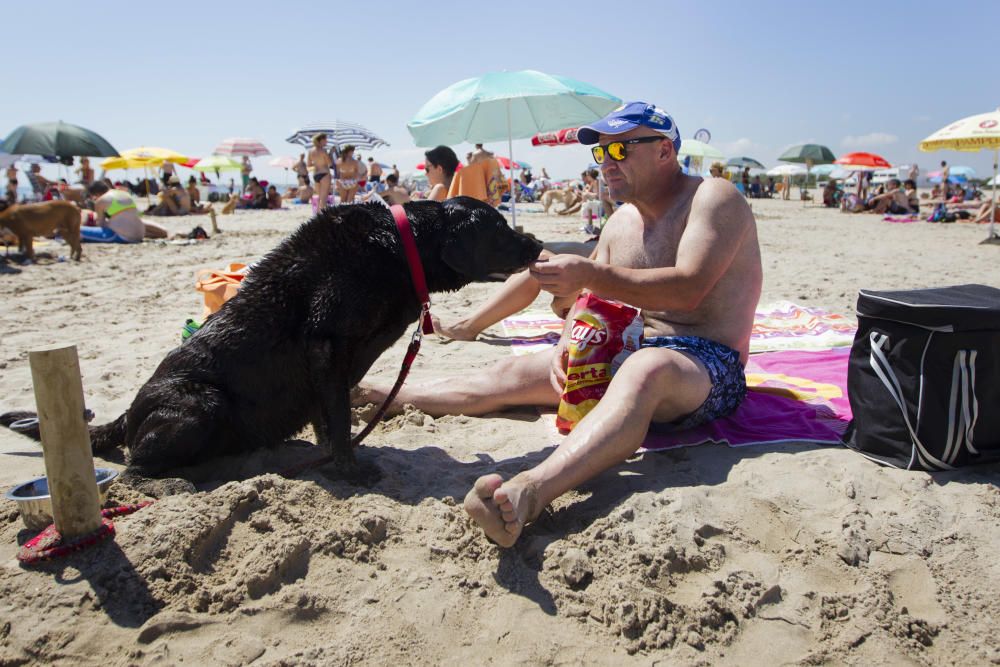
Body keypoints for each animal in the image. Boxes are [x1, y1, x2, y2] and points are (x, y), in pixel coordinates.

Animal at [0, 198, 544, 496]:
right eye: (498, 227)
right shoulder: (327, 344)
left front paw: (331, 456)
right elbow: (339, 419)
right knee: (133, 470)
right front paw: (349, 468)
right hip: (200, 404)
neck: (397, 244)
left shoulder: (336, 362)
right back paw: (171, 482)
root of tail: (129, 413)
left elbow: (330, 418)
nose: (538, 243)